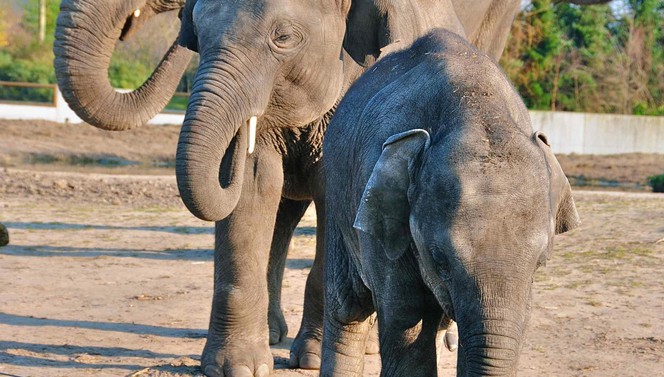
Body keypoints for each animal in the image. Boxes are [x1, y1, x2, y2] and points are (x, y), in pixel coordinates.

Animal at [322, 30, 580, 376]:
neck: (476, 107)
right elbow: (409, 331)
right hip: (336, 202)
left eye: (541, 264)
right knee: (347, 311)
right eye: (439, 260)